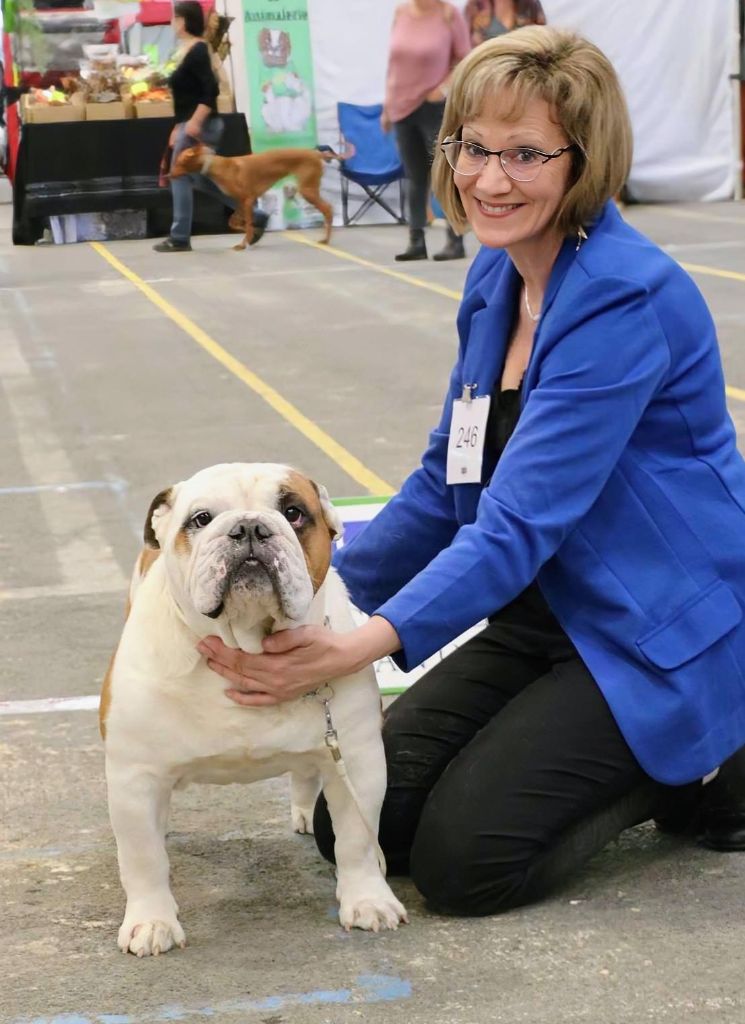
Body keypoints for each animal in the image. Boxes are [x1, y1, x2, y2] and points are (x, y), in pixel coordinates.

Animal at [171, 145, 349, 250]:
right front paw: (255, 234)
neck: (221, 166)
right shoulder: (240, 203)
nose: (169, 175)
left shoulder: (248, 199)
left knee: (328, 209)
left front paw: (245, 242)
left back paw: (326, 240)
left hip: (308, 190)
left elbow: (248, 224)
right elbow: (234, 223)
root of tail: (316, 153)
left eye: (179, 162)